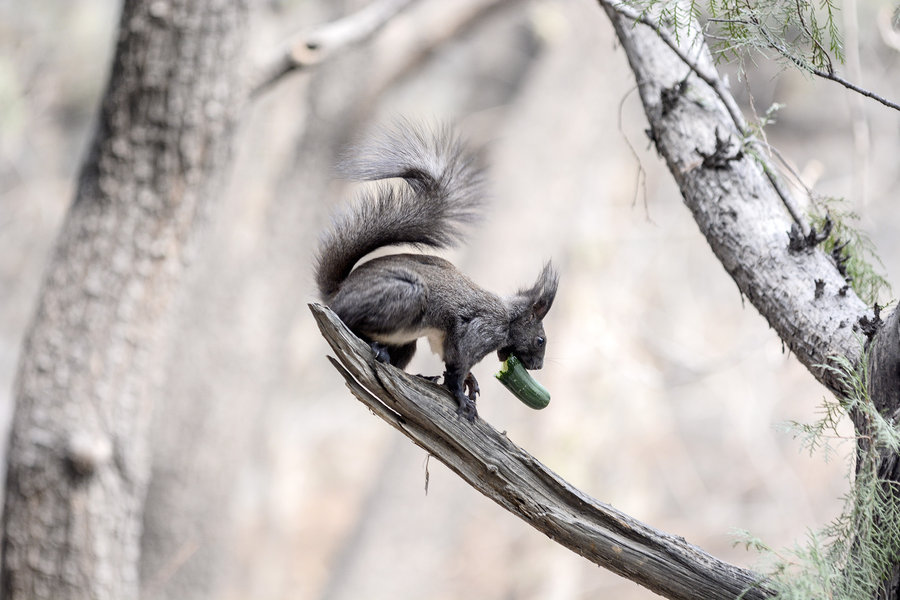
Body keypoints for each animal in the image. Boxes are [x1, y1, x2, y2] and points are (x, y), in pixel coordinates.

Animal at [314, 122, 556, 422]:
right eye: (540, 340)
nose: (538, 367)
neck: (508, 319)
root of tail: (338, 292)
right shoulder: (479, 331)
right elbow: (457, 364)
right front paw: (461, 396)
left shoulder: (442, 338)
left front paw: (471, 381)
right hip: (407, 295)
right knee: (348, 320)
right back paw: (376, 347)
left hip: (407, 341)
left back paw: (419, 374)